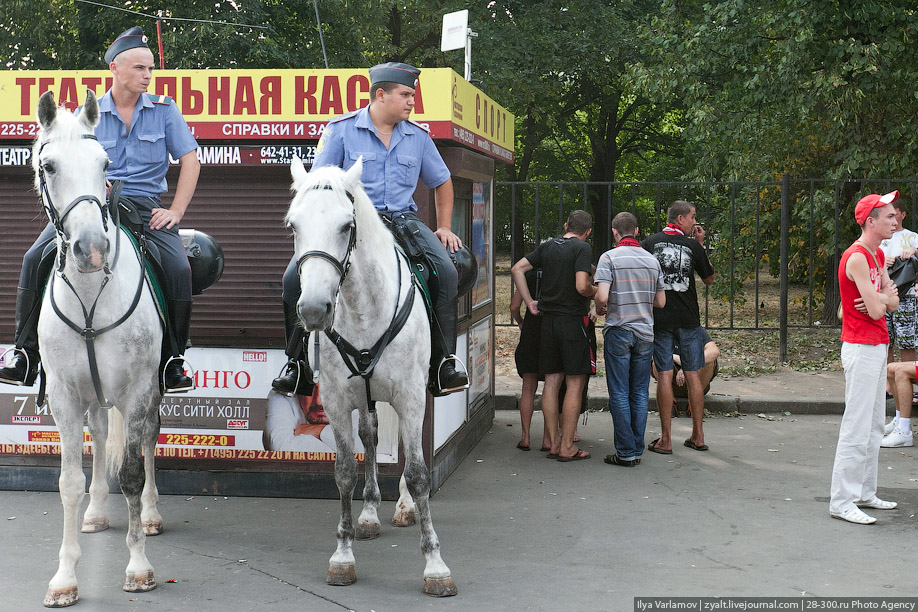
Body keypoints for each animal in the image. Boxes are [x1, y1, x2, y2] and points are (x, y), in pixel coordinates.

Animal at [34, 89, 165, 608]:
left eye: (104, 163)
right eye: (49, 166)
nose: (91, 249)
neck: (91, 295)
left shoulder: (136, 392)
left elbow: (130, 471)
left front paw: (139, 567)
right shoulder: (65, 398)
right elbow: (69, 482)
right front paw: (64, 577)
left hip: (149, 395)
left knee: (146, 442)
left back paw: (149, 514)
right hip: (93, 397)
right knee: (100, 433)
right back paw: (95, 513)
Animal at [290, 158, 458, 596]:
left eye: (346, 225)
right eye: (293, 225)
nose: (313, 309)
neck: (363, 307)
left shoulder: (411, 396)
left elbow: (417, 473)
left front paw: (435, 564)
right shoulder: (335, 400)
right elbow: (345, 471)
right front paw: (343, 555)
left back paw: (403, 507)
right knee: (370, 434)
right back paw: (369, 512)